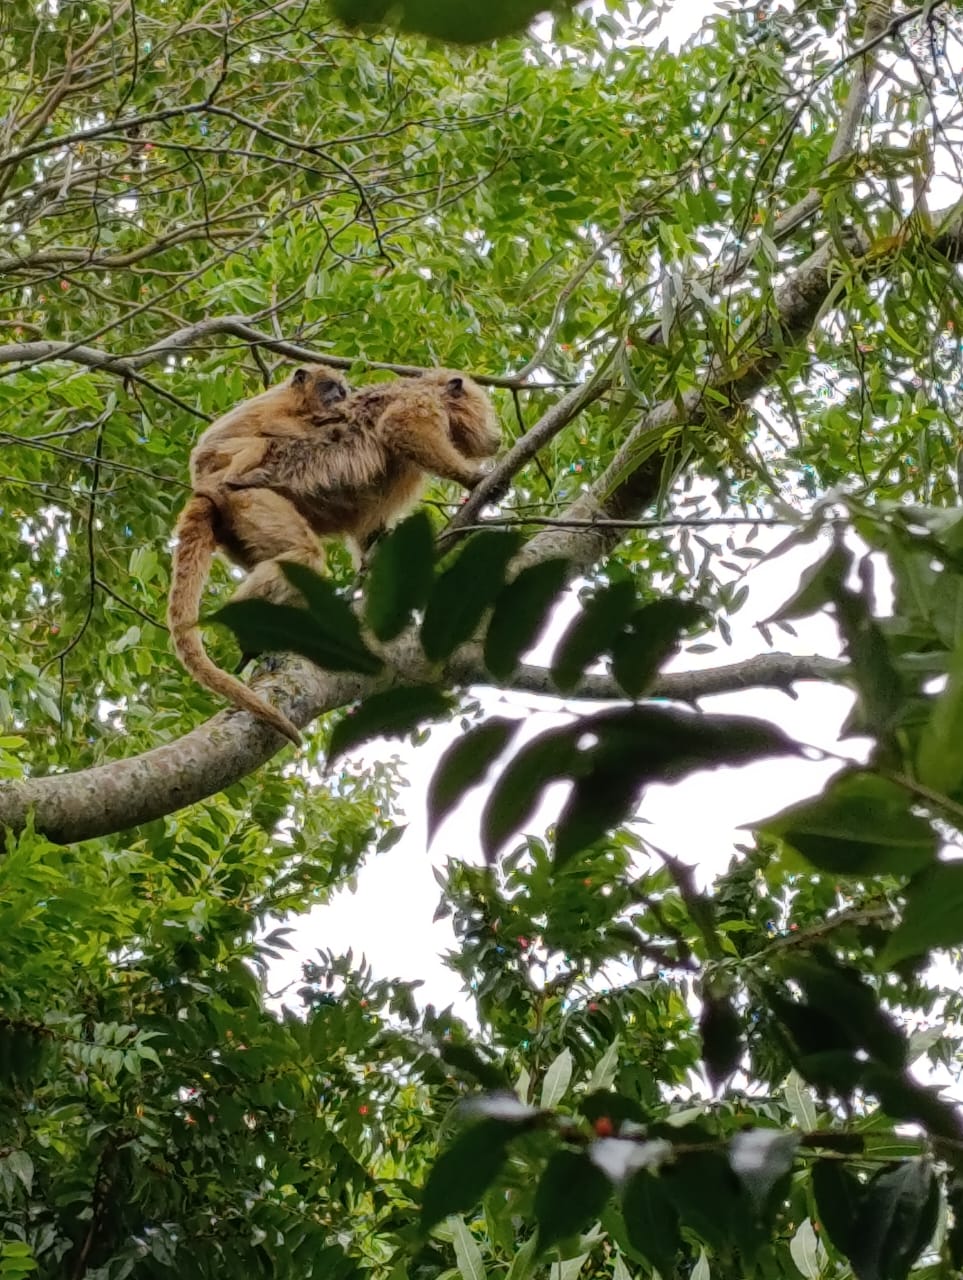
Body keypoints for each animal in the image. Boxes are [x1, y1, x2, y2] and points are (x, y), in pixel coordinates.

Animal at [167, 364, 351, 746]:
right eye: (330, 387)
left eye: (342, 389)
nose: (339, 397)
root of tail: (202, 484)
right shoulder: (280, 407)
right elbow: (278, 426)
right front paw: (332, 419)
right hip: (228, 475)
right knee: (260, 443)